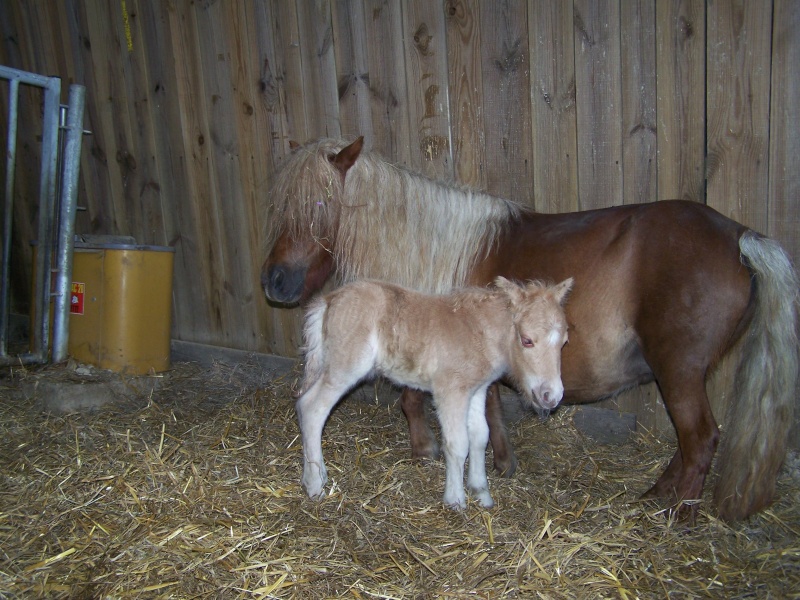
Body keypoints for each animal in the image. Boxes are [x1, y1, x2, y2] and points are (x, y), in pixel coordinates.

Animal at [260, 136, 796, 520]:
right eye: (281, 207)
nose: (275, 281)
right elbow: (485, 412)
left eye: (320, 205)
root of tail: (742, 236)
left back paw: (678, 516)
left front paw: (437, 454)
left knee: (700, 439)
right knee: (690, 445)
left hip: (679, 371)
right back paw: (655, 495)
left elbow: (426, 401)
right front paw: (494, 465)